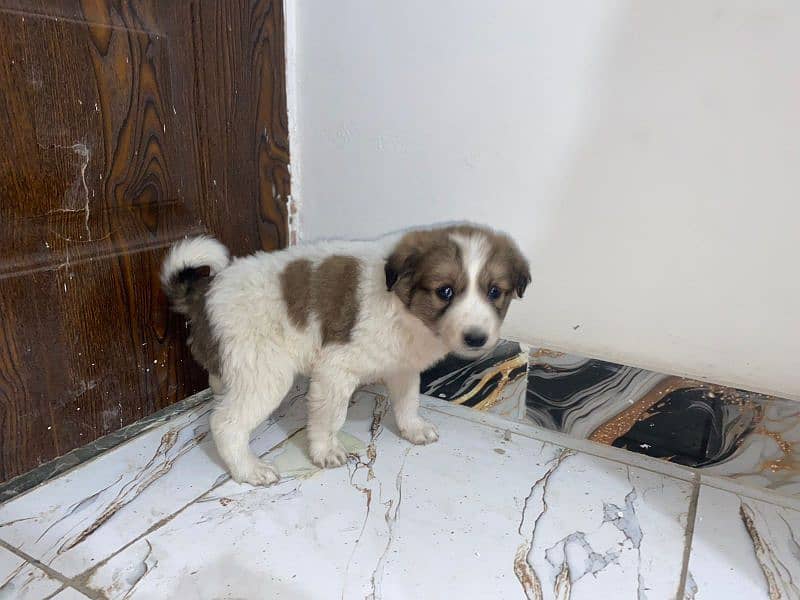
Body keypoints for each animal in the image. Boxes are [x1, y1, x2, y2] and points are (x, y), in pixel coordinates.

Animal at [159, 225, 528, 488]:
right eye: (445, 292)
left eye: (494, 292)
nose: (476, 338)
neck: (403, 306)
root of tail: (206, 289)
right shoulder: (334, 370)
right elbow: (329, 417)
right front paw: (325, 452)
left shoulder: (403, 366)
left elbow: (408, 402)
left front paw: (413, 429)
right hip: (266, 373)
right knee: (225, 423)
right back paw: (248, 469)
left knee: (219, 389)